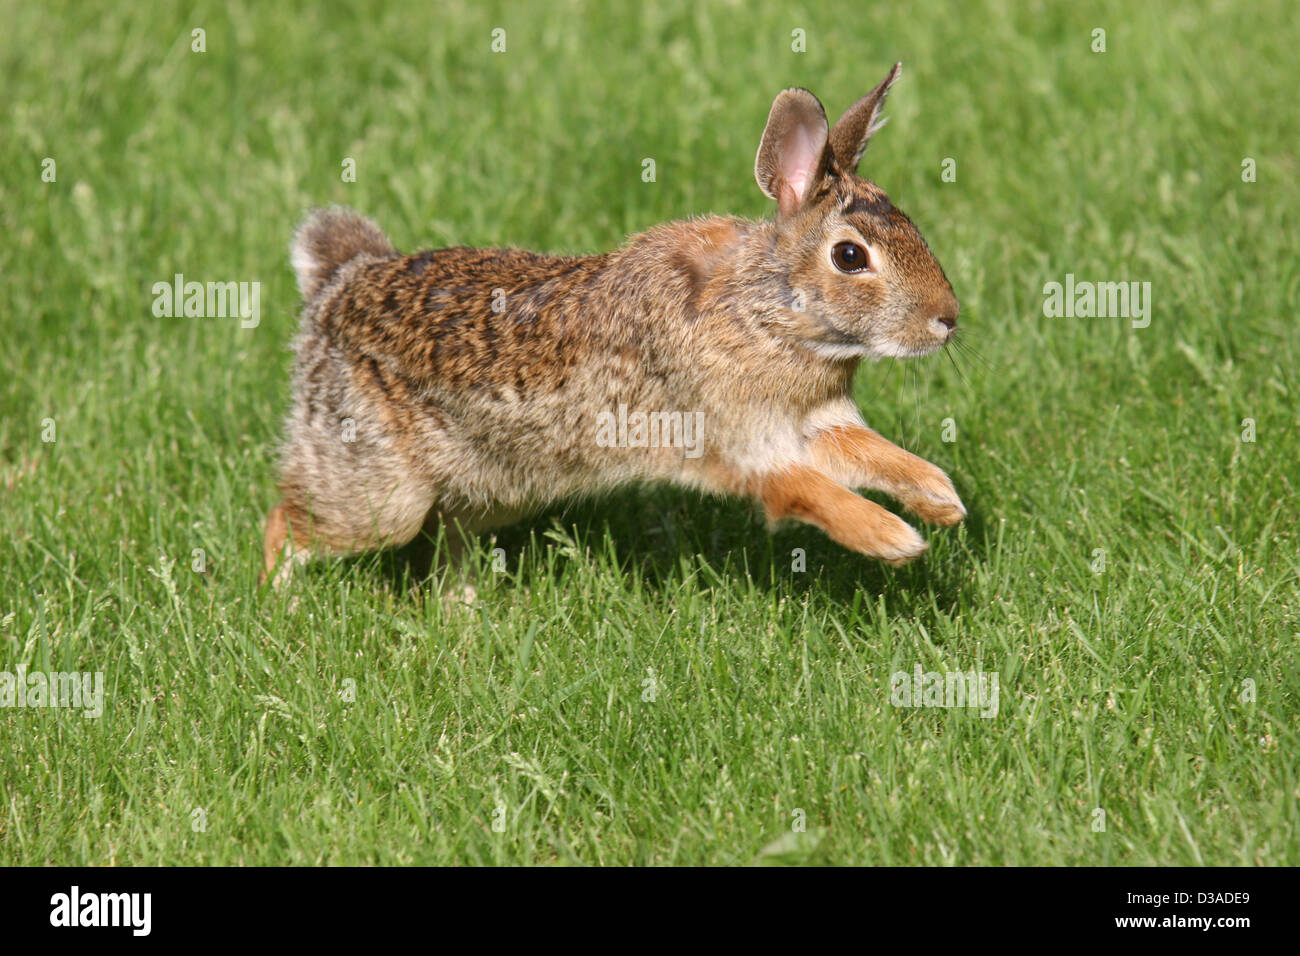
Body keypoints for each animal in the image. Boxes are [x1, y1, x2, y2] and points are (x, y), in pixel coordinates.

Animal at [261, 63, 967, 587]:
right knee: (291, 521)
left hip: (498, 485)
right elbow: (808, 491)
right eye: (850, 256)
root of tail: (336, 285)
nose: (947, 320)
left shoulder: (817, 422)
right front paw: (894, 540)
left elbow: (878, 454)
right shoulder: (736, 439)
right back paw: (280, 604)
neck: (768, 310)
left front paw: (941, 500)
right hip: (380, 489)